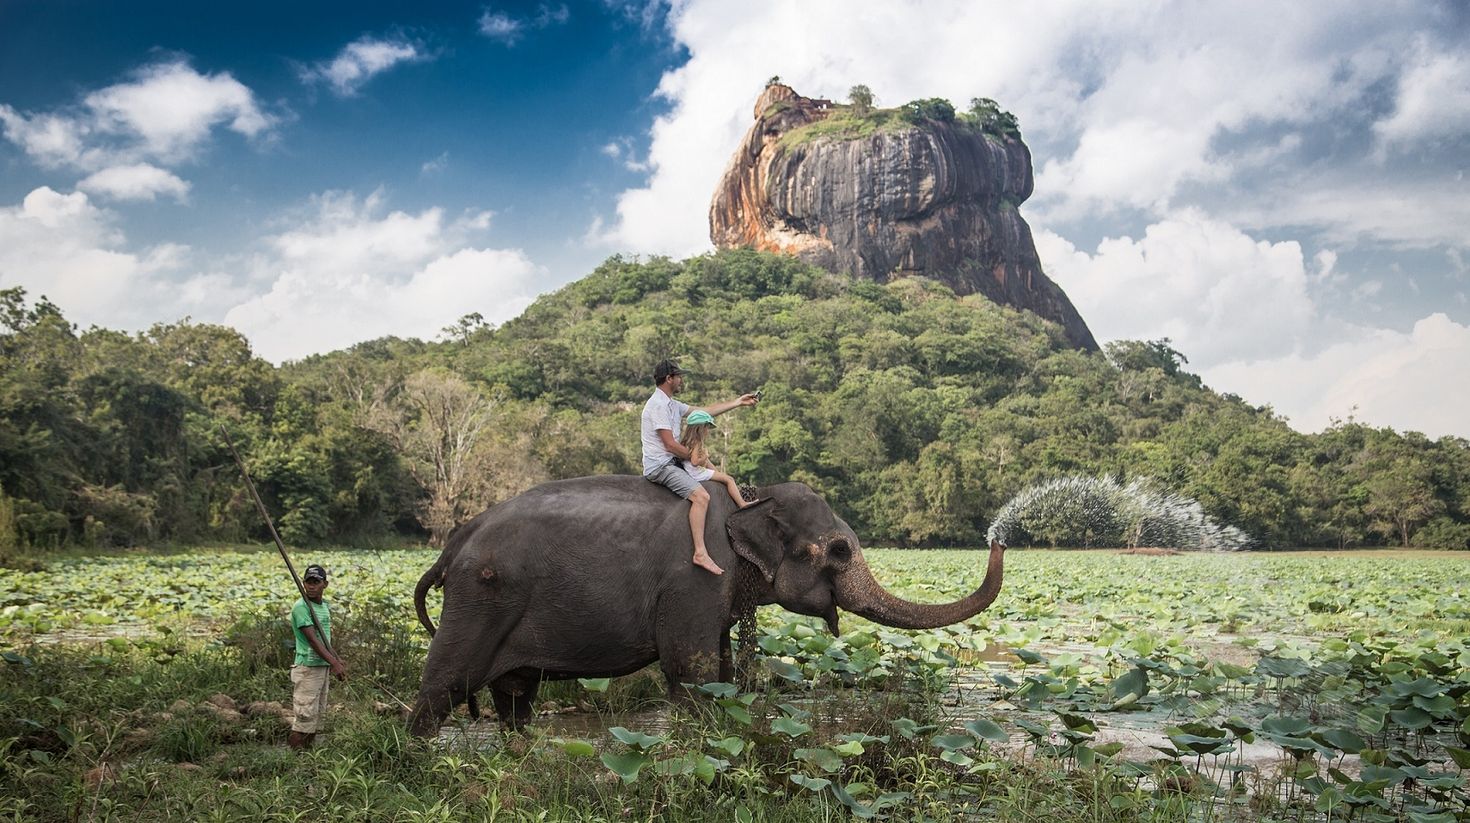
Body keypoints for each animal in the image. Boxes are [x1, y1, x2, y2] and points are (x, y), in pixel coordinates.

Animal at [407, 475, 1005, 736]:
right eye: (838, 550)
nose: (999, 537)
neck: (750, 500)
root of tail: (454, 543)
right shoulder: (694, 579)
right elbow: (690, 670)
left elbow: (719, 669)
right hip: (480, 598)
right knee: (445, 684)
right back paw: (420, 756)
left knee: (514, 695)